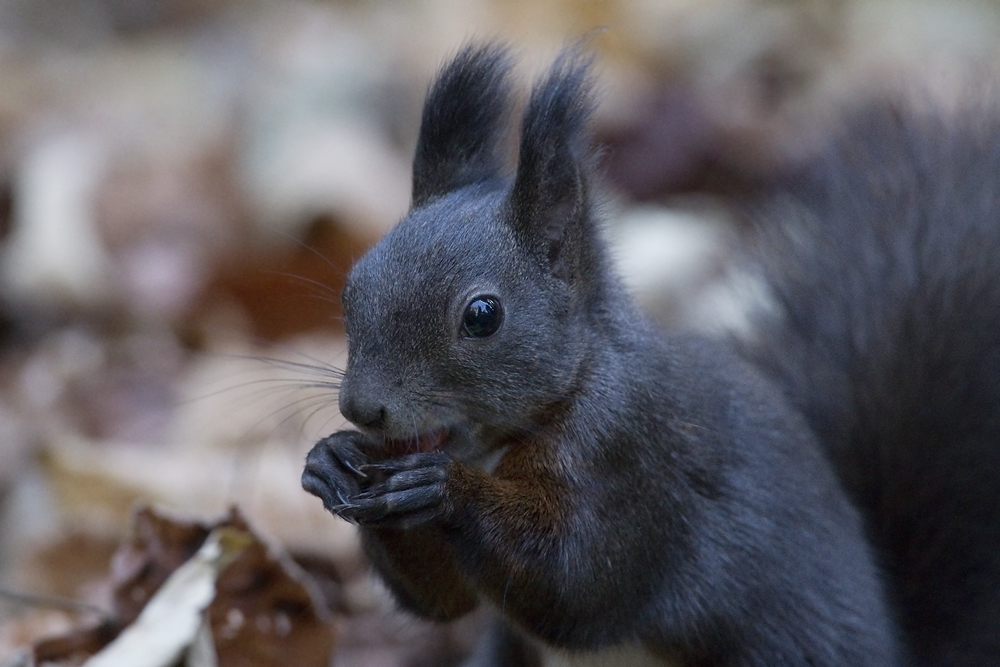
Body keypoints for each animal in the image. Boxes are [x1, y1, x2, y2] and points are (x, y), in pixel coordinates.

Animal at [302, 43, 1000, 667]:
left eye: (482, 316)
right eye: (353, 284)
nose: (361, 408)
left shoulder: (635, 463)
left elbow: (580, 582)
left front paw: (447, 488)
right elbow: (442, 600)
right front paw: (333, 460)